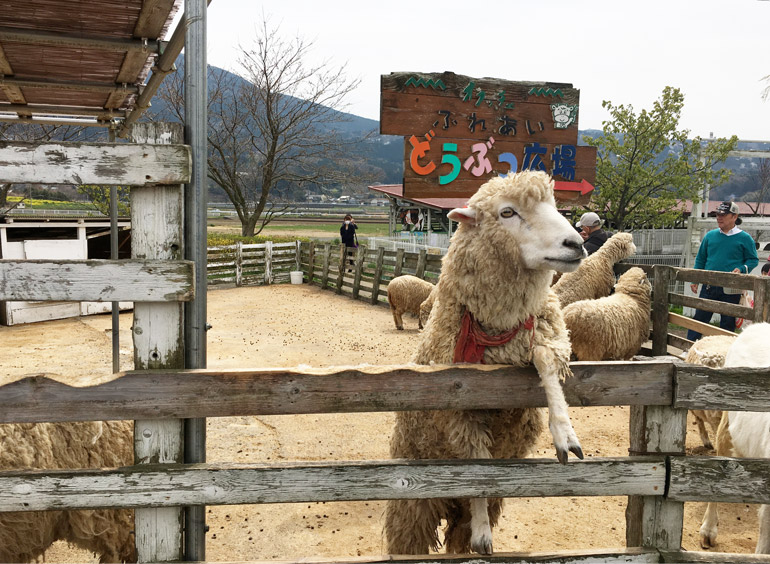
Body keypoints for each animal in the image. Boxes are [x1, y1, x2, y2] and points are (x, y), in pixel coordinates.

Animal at [380, 169, 584, 556]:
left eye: (555, 206)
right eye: (507, 213)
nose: (576, 243)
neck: (500, 334)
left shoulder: (544, 331)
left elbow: (546, 361)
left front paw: (565, 433)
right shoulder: (460, 408)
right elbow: (478, 462)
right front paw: (483, 534)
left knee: (458, 536)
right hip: (413, 503)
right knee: (413, 538)